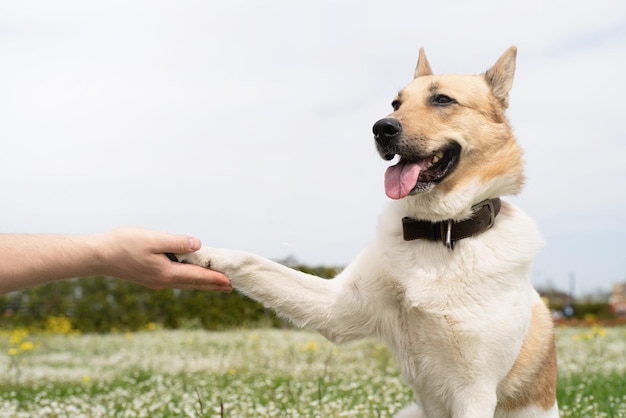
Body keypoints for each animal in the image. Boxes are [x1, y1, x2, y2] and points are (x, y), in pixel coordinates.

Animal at [178, 47, 560, 416]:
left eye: (442, 100)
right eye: (395, 104)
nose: (381, 128)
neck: (441, 233)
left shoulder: (475, 391)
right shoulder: (336, 306)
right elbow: (251, 261)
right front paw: (195, 252)